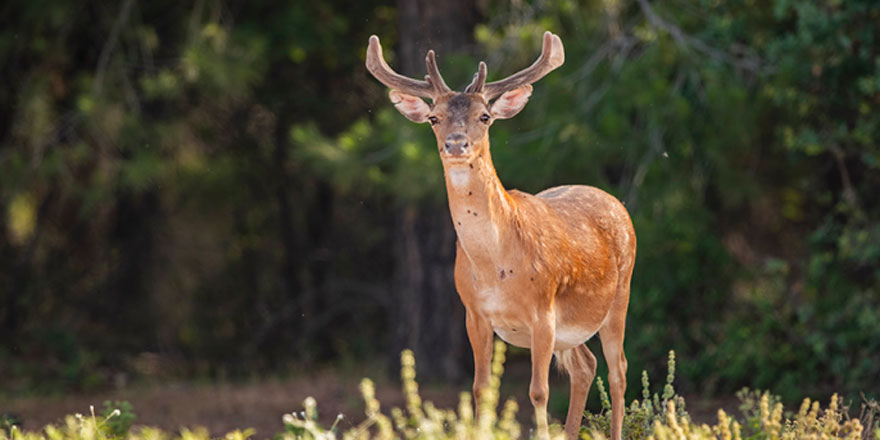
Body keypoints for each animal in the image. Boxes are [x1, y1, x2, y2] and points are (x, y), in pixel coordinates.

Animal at [364, 31, 632, 440]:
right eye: (434, 118)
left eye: (485, 117)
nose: (456, 144)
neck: (496, 267)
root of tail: (617, 202)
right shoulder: (473, 312)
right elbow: (481, 388)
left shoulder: (542, 310)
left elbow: (538, 391)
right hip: (572, 329)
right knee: (586, 366)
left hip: (620, 295)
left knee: (618, 372)